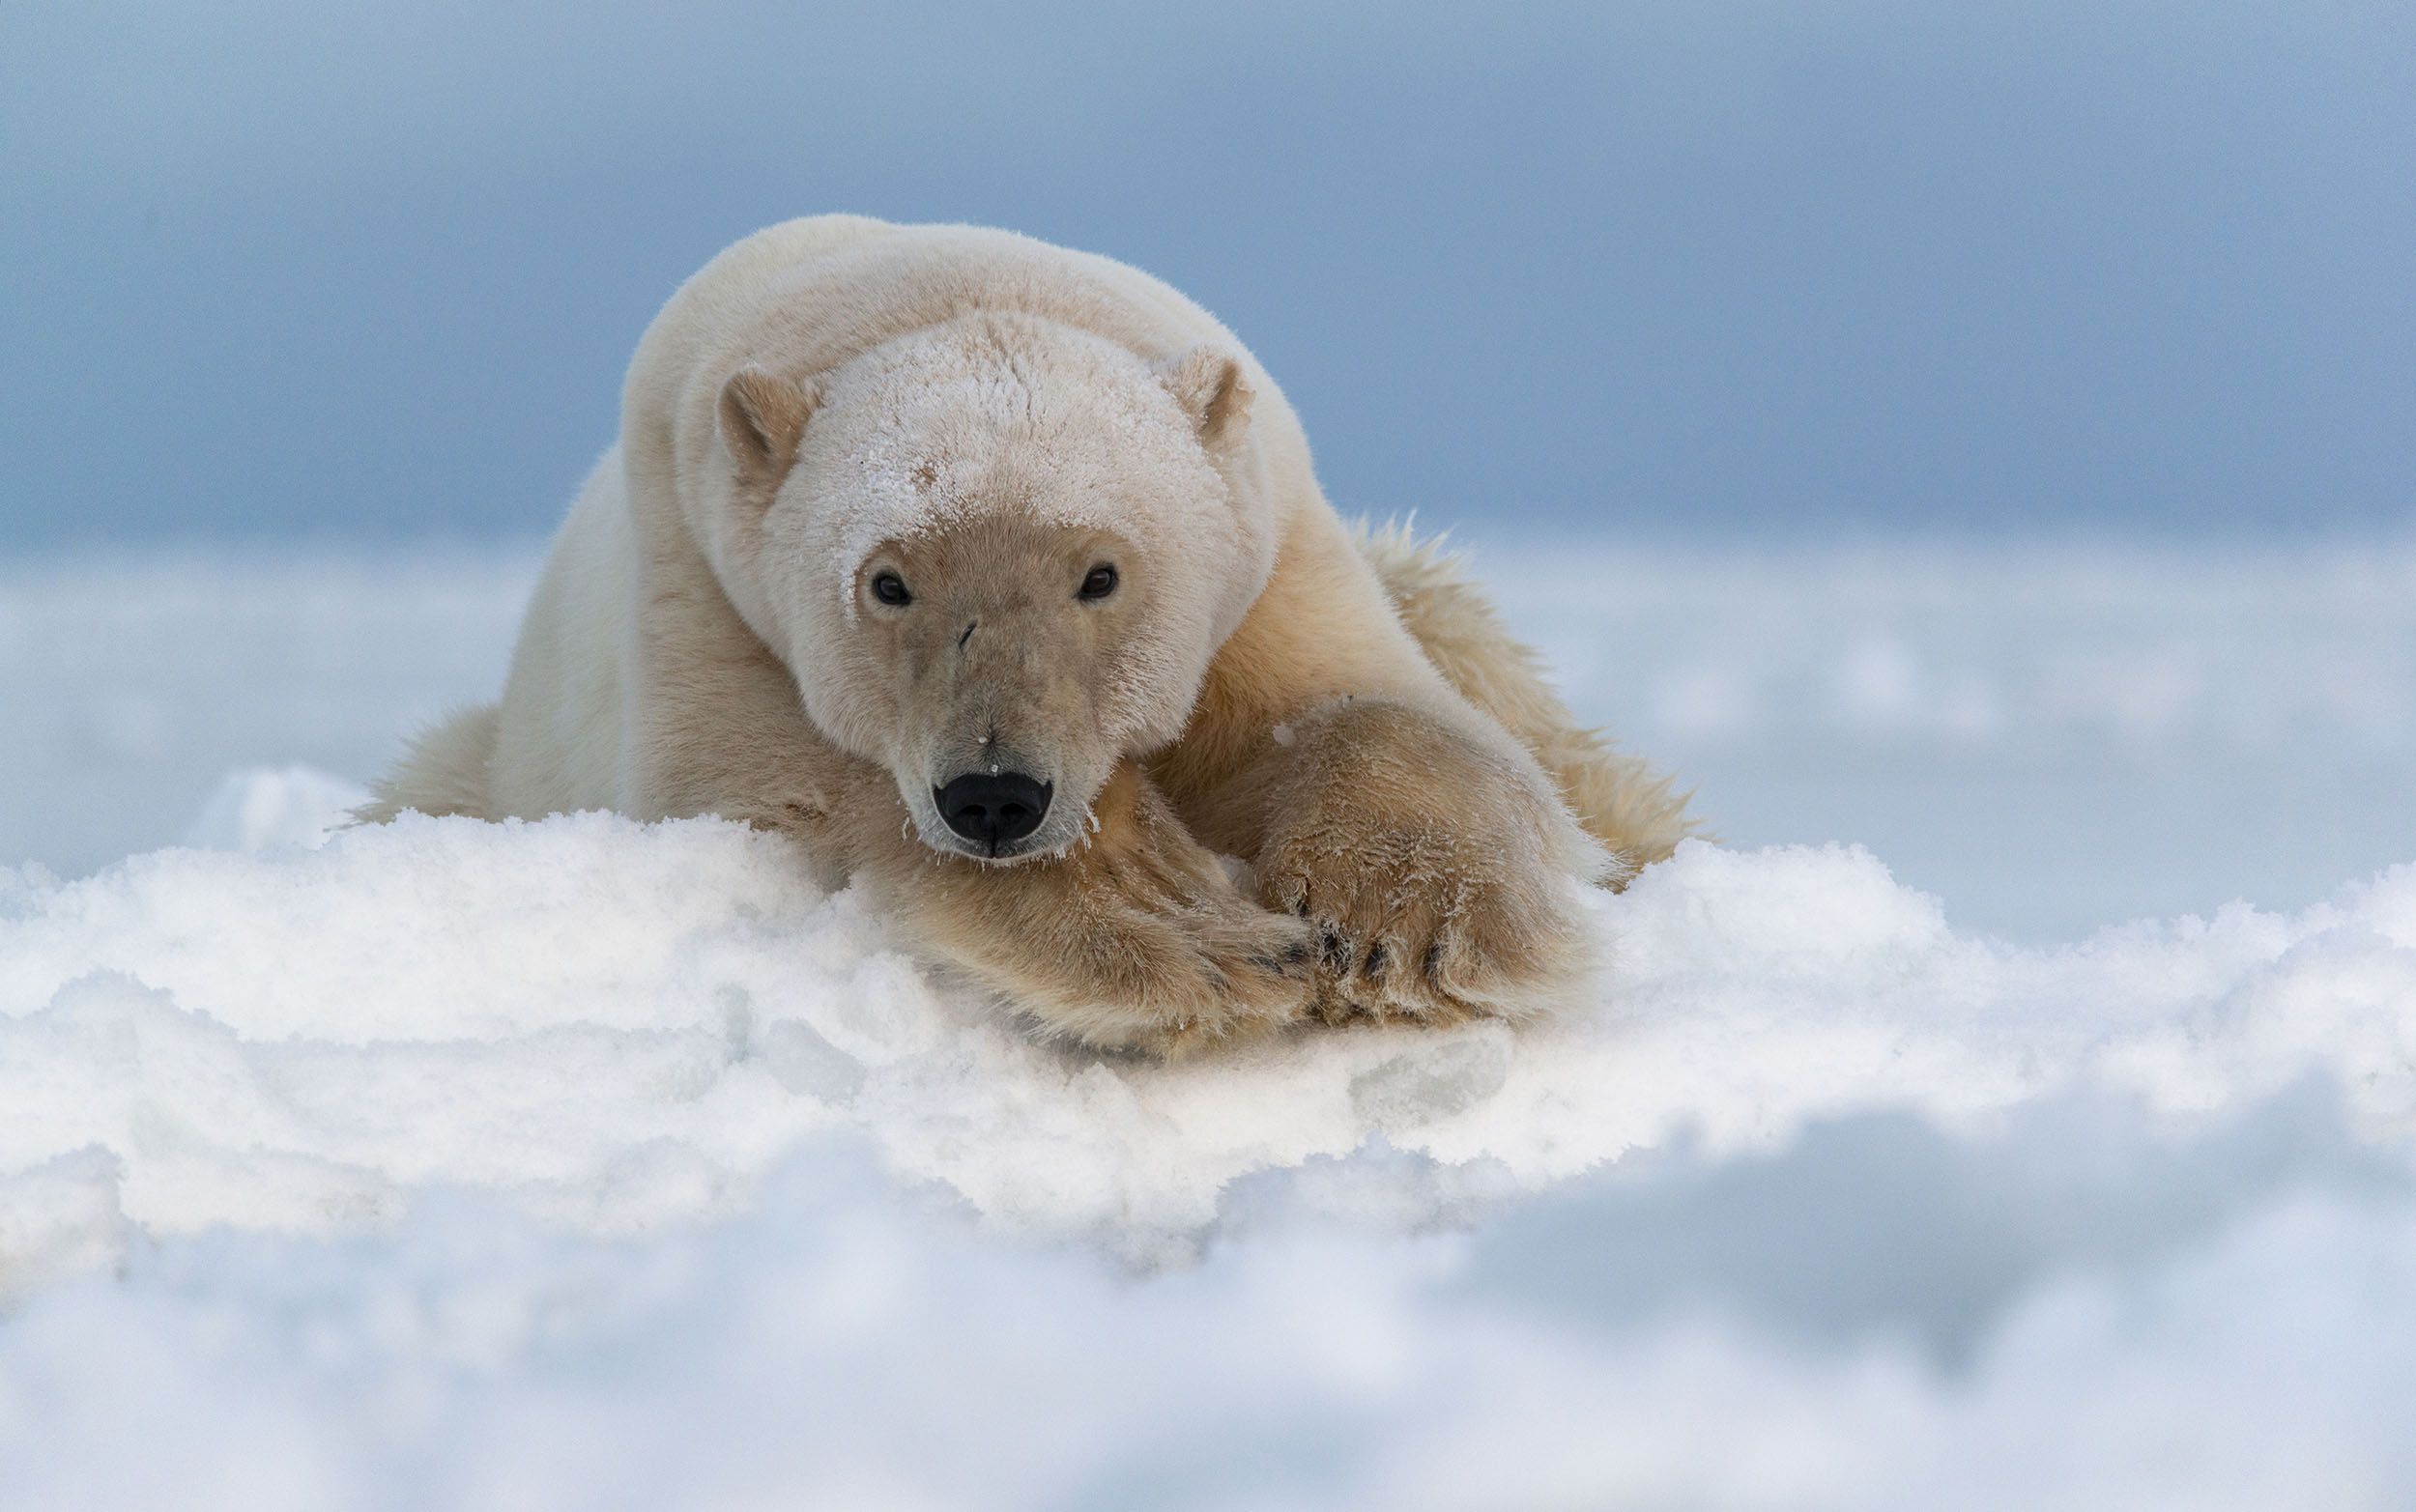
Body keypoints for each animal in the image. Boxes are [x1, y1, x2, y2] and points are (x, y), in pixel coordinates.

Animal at [367, 214, 1691, 1048]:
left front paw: (1397, 932)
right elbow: (791, 783)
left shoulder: (1267, 553)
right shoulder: (706, 582)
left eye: (1099, 572)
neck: (941, 288)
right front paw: (1201, 939)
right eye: (887, 582)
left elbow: (1374, 705)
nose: (994, 793)